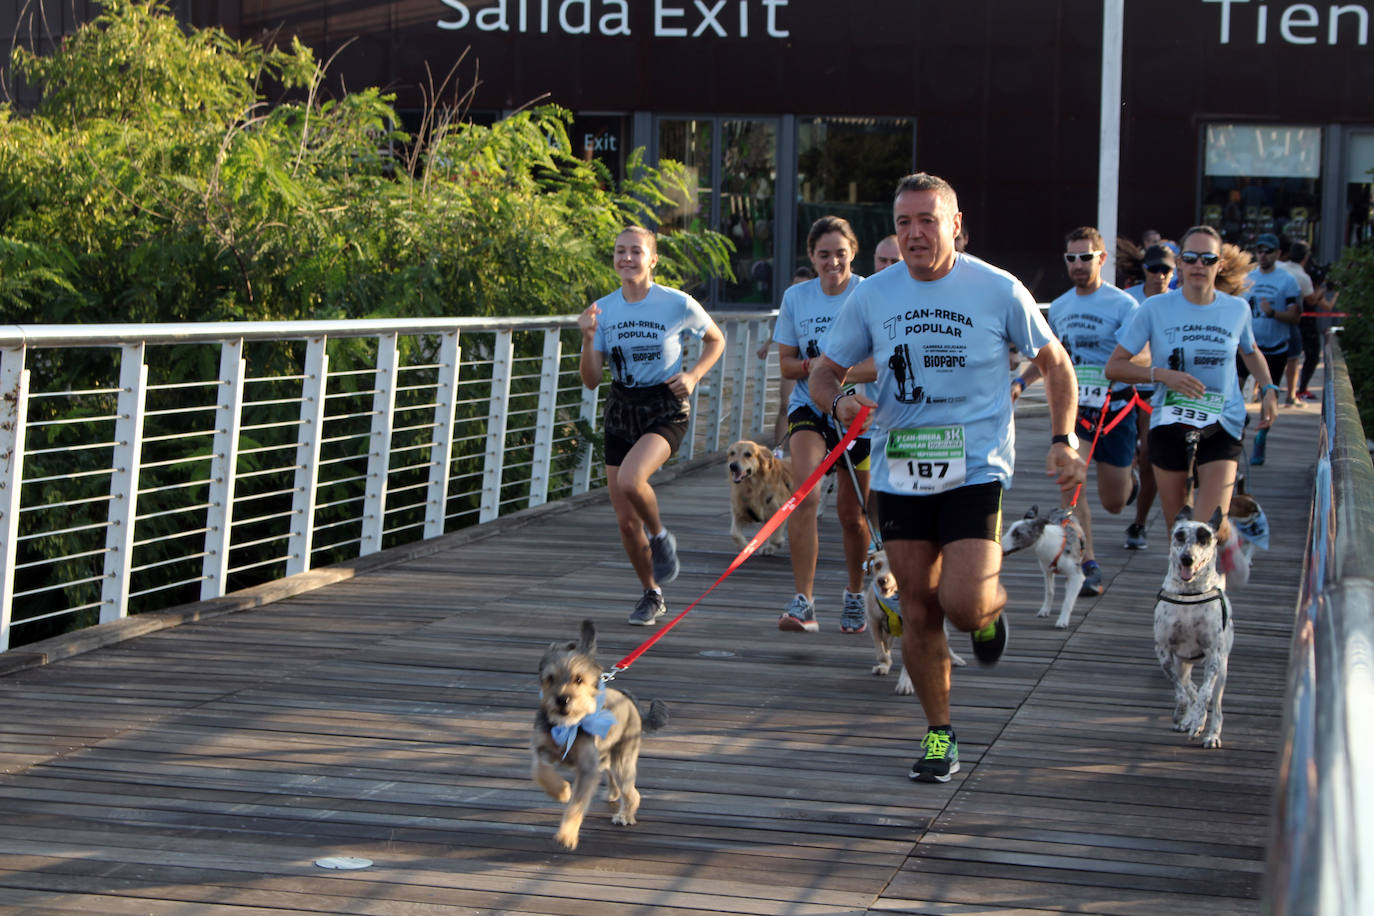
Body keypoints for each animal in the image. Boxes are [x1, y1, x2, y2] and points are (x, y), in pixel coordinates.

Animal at [533, 620, 667, 851]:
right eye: (550, 679)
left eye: (579, 679)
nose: (562, 700)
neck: (568, 725)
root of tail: (627, 696)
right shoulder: (542, 749)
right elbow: (541, 771)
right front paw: (561, 791)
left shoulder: (587, 768)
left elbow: (576, 805)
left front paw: (567, 835)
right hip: (607, 757)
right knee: (613, 778)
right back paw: (613, 795)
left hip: (623, 760)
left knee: (632, 793)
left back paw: (624, 816)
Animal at [868, 543, 967, 694]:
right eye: (877, 565)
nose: (881, 580)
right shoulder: (874, 622)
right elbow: (881, 651)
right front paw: (884, 663)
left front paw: (905, 682)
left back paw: (954, 658)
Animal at [1000, 502, 1082, 631]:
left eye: (1017, 534)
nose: (998, 544)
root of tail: (1064, 510)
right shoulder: (1047, 571)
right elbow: (1049, 591)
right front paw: (1044, 610)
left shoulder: (1076, 576)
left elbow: (1068, 601)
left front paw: (1062, 621)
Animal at [1148, 508, 1236, 752]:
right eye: (1179, 535)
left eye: (1204, 538)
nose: (1188, 558)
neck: (1189, 594)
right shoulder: (1164, 652)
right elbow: (1180, 692)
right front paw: (1182, 715)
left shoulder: (1214, 655)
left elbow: (1205, 694)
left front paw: (1198, 722)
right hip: (1182, 663)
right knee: (1189, 687)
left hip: (1222, 670)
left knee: (1215, 704)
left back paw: (1211, 734)